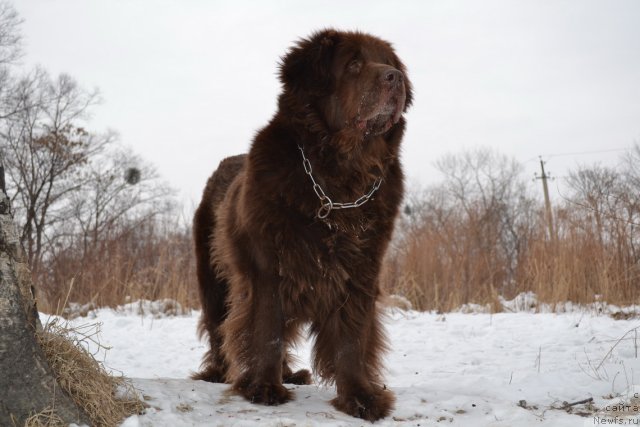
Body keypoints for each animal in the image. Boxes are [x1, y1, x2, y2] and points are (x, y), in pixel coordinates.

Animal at [192, 29, 412, 422]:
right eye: (353, 64)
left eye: (387, 61)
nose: (395, 77)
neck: (339, 181)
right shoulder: (267, 267)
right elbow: (266, 329)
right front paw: (263, 388)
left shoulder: (361, 270)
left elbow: (352, 338)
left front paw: (360, 397)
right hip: (213, 280)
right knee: (219, 328)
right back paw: (221, 373)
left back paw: (291, 373)